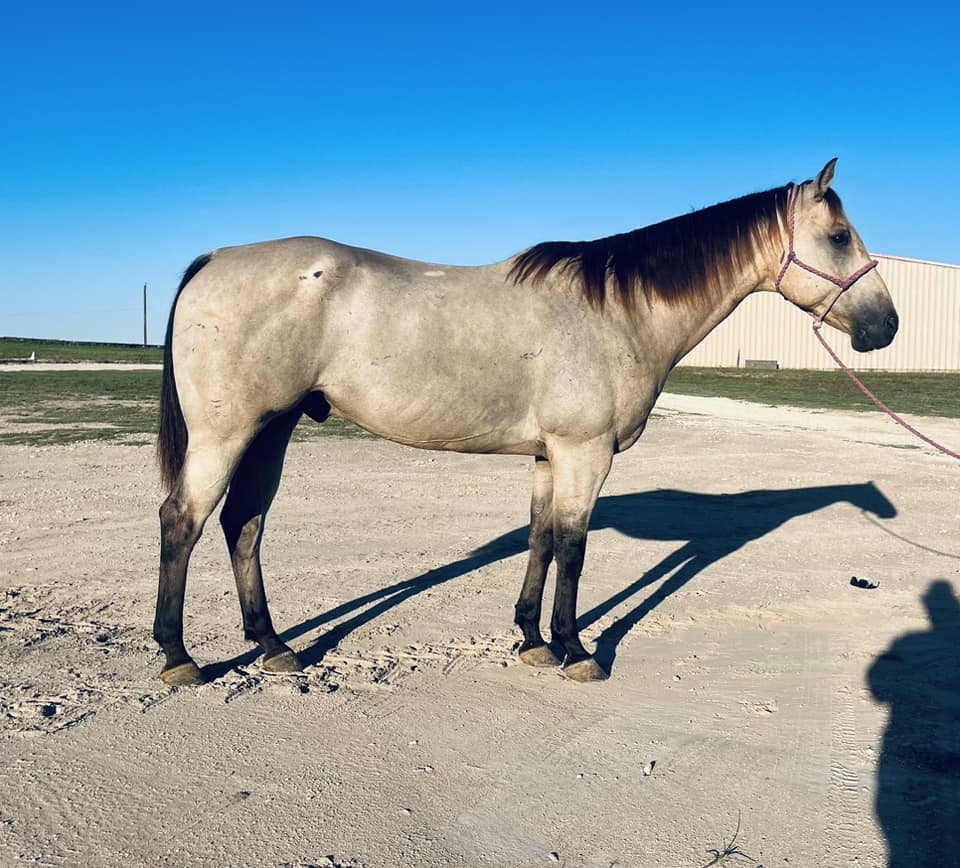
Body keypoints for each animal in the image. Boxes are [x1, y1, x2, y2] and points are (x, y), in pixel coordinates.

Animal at [154, 158, 899, 686]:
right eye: (838, 236)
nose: (886, 326)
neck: (615, 311)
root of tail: (217, 258)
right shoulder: (584, 453)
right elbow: (573, 544)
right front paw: (576, 649)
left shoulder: (548, 456)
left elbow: (541, 540)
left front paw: (532, 640)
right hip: (228, 434)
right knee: (183, 520)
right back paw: (179, 657)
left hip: (271, 430)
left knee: (243, 524)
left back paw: (274, 645)